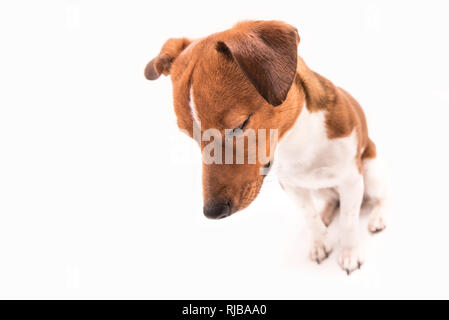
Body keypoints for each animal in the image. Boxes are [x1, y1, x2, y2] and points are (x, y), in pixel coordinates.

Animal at [145, 20, 386, 276]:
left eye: (238, 126)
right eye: (189, 135)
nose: (212, 212)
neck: (296, 142)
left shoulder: (351, 180)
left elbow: (349, 221)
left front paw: (349, 253)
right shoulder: (292, 186)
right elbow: (310, 217)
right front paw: (320, 241)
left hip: (371, 171)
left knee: (380, 198)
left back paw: (377, 218)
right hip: (322, 189)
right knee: (332, 201)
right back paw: (327, 214)